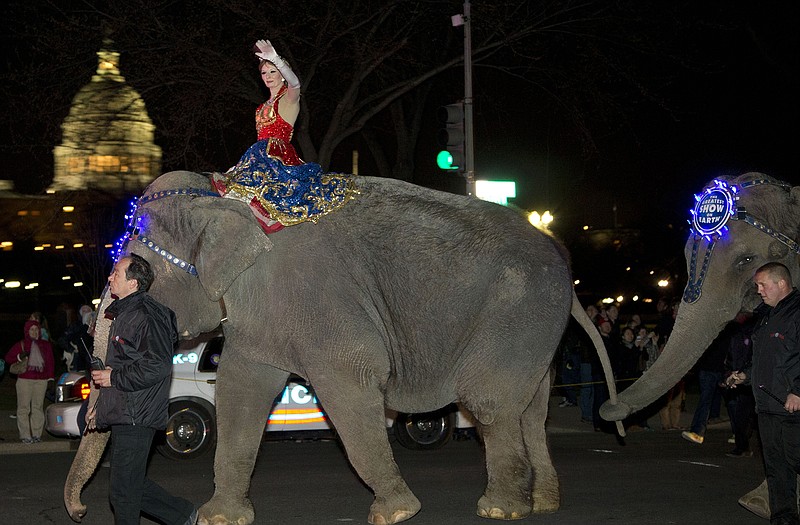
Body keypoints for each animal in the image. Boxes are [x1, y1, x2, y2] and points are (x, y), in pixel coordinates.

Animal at [64, 170, 620, 520]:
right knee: (531, 410)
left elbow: (350, 378)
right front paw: (219, 518)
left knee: (489, 404)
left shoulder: (317, 298)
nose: (82, 509)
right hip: (537, 329)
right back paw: (541, 503)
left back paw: (500, 509)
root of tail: (561, 257)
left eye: (133, 262)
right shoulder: (260, 314)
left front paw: (396, 513)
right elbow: (240, 388)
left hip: (519, 310)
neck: (225, 197)